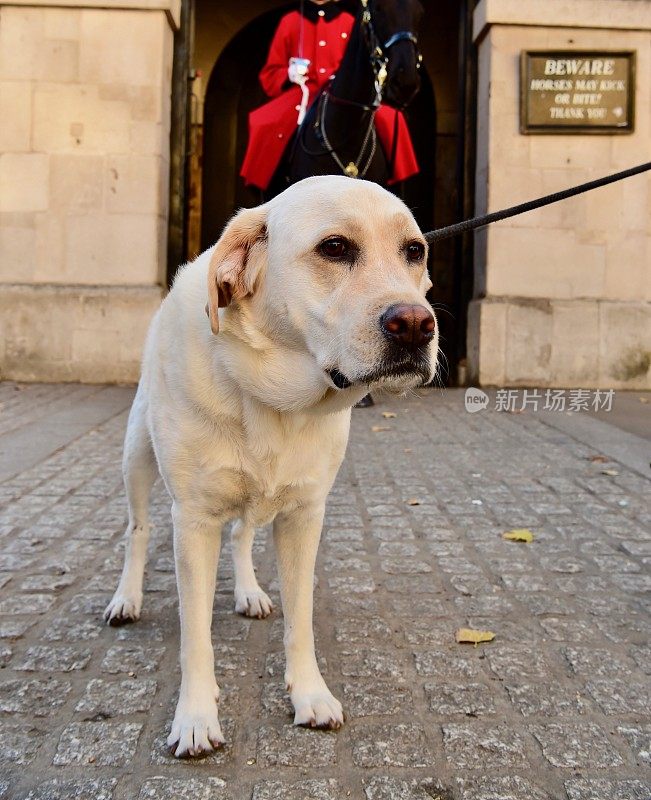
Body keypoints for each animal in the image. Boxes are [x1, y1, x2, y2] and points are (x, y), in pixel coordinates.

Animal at [104, 175, 438, 756]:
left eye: (413, 251)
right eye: (335, 247)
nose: (417, 324)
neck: (271, 400)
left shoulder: (305, 516)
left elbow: (300, 620)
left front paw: (309, 694)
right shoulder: (193, 521)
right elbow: (196, 637)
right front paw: (195, 717)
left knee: (241, 535)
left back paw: (249, 592)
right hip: (137, 457)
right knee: (137, 529)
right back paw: (127, 597)